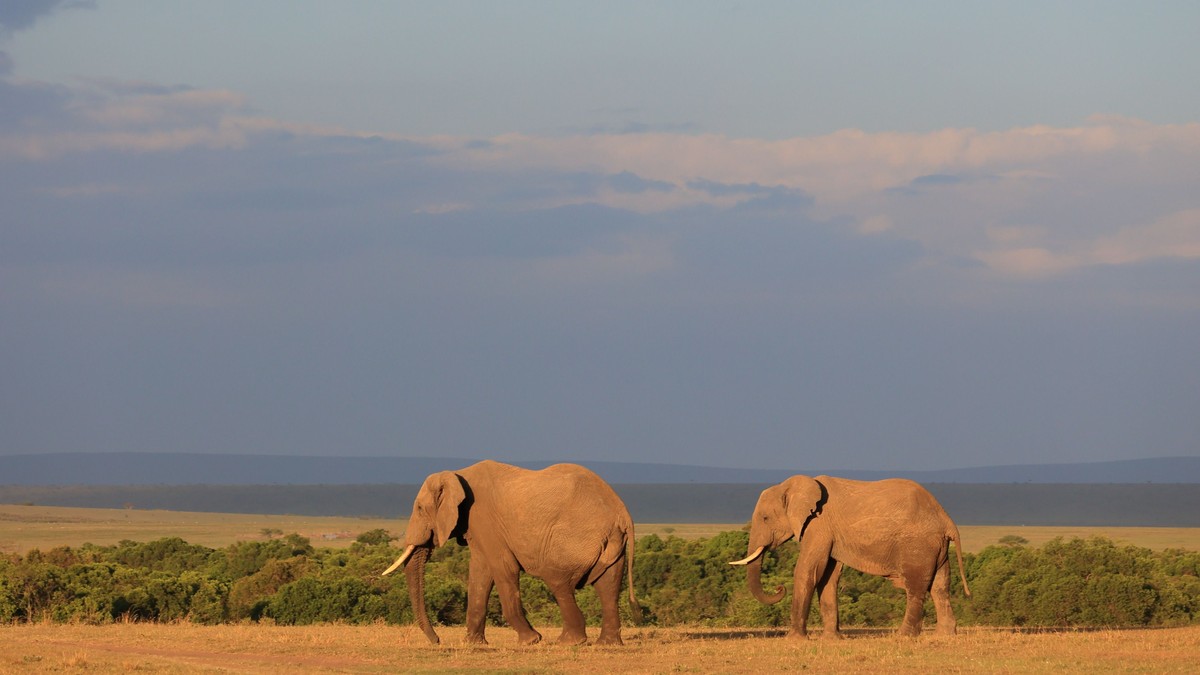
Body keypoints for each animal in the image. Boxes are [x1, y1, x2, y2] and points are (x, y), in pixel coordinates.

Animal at [382, 460, 642, 646]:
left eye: (419, 508)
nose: (437, 641)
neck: (456, 473)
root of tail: (622, 513)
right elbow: (480, 572)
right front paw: (473, 645)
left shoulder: (483, 517)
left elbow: (502, 567)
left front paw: (530, 641)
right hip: (610, 544)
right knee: (608, 585)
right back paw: (606, 643)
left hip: (575, 537)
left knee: (557, 581)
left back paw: (568, 642)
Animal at [729, 475, 970, 639]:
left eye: (765, 518)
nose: (779, 588)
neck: (794, 485)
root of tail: (947, 519)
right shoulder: (829, 533)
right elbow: (828, 577)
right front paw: (832, 640)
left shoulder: (818, 525)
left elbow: (808, 571)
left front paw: (795, 640)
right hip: (936, 547)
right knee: (940, 586)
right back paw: (944, 635)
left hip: (918, 544)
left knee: (916, 587)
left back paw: (903, 636)